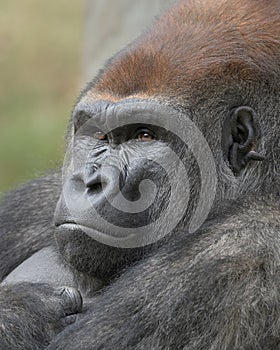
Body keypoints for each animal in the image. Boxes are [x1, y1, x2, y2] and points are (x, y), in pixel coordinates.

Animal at [0, 0, 280, 350]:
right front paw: (20, 311)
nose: (90, 181)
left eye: (144, 136)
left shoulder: (238, 253)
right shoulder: (39, 200)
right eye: (99, 134)